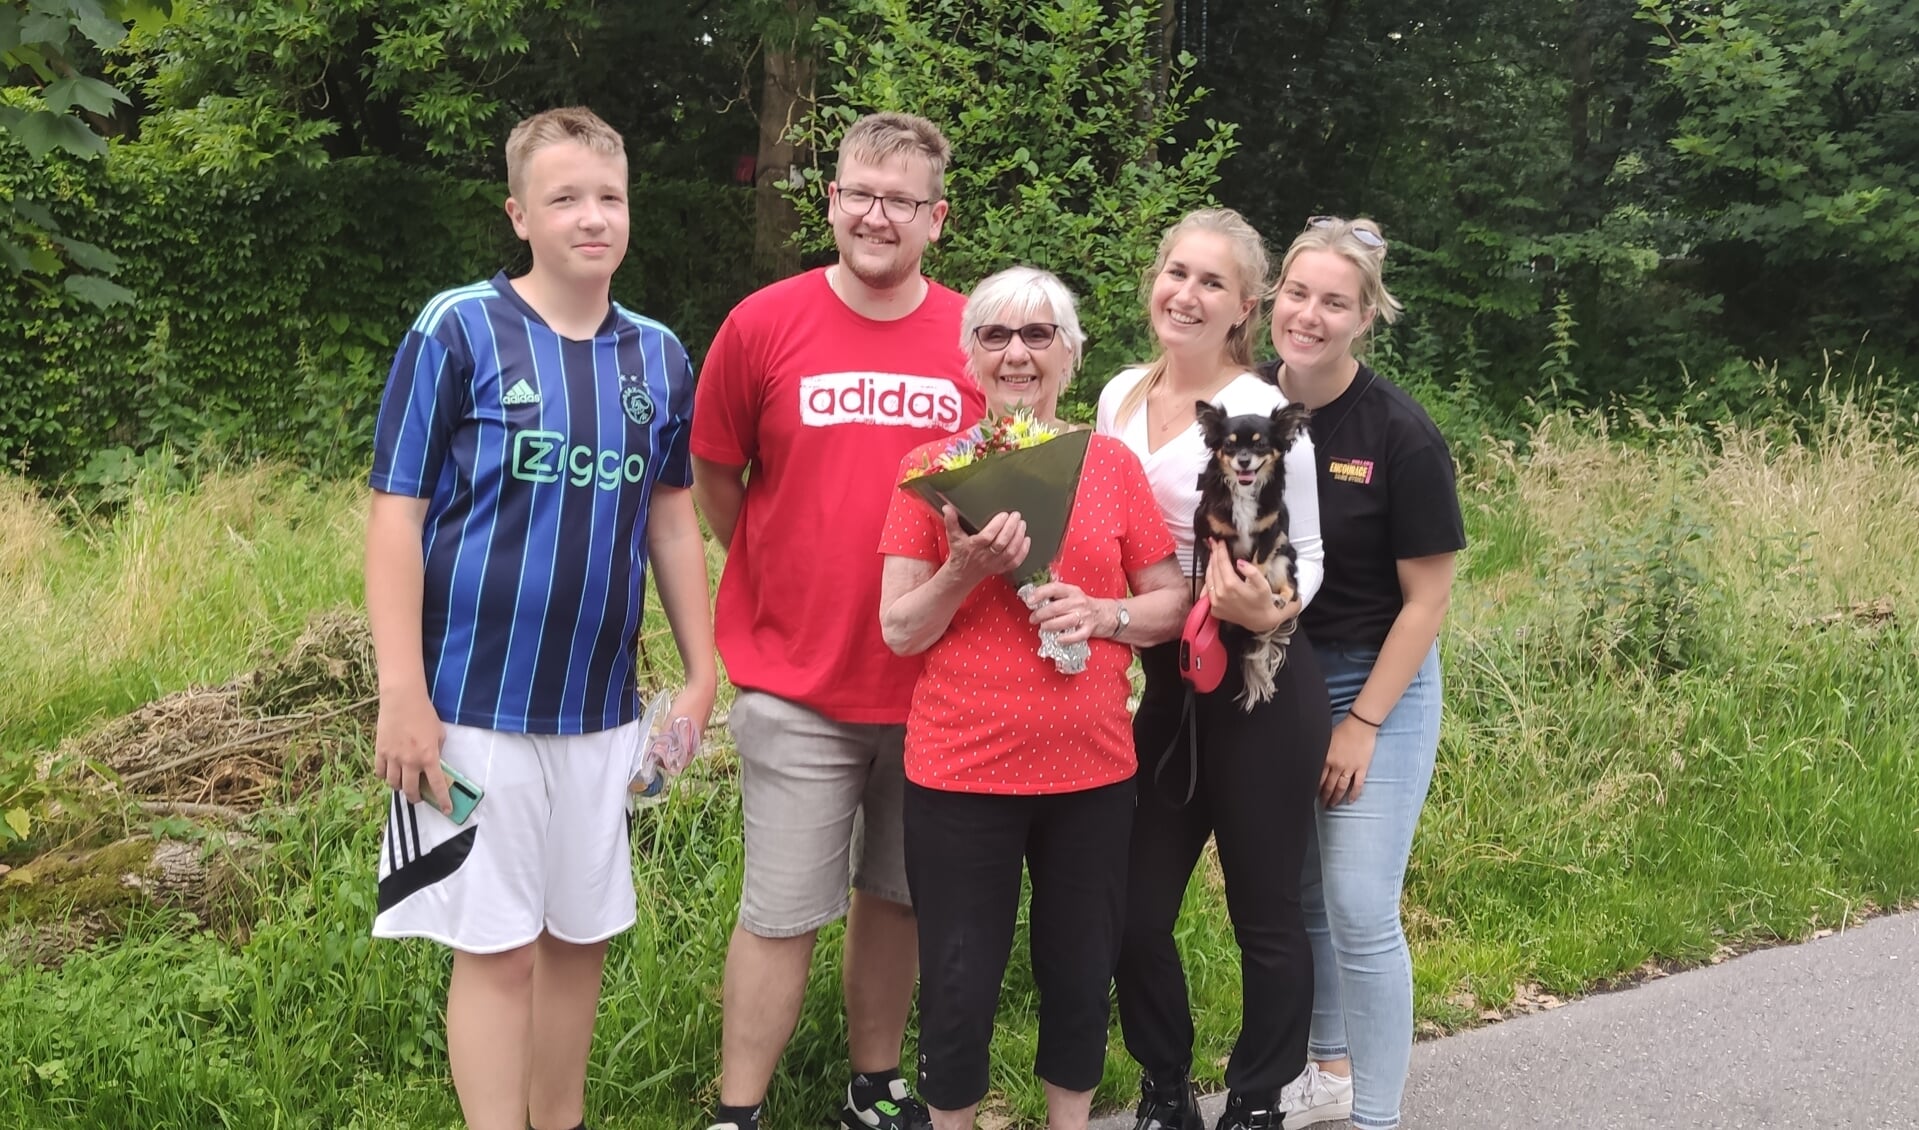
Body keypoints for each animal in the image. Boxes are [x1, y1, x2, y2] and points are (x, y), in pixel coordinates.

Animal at [1189, 399, 1312, 706]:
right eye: (1229, 445)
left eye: (1261, 445)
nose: (1243, 460)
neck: (1243, 492)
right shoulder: (1215, 537)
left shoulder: (1271, 532)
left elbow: (1256, 565)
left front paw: (1247, 591)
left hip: (1283, 559)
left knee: (1292, 589)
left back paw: (1276, 599)